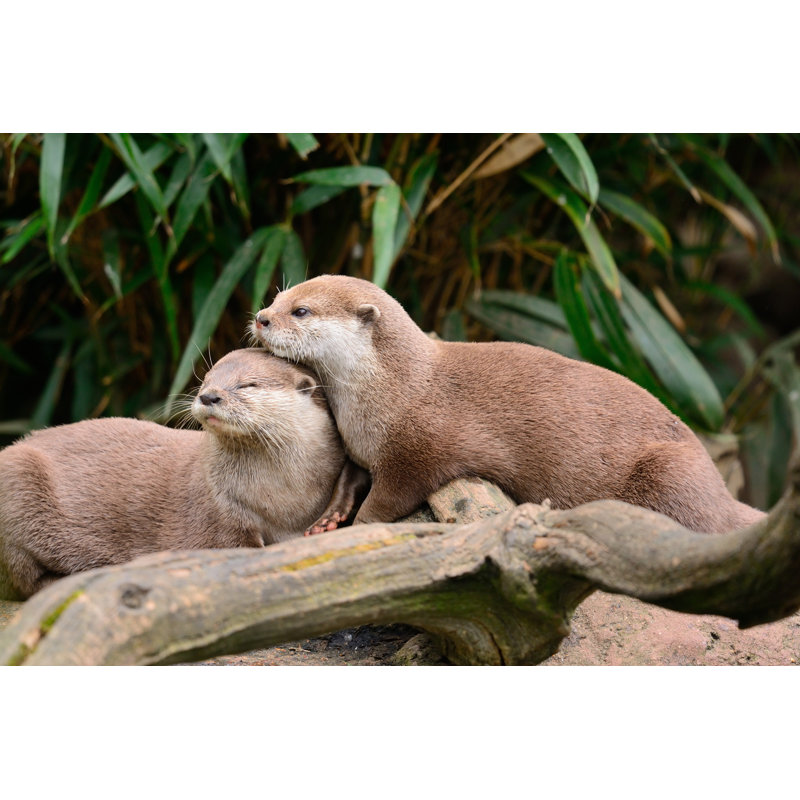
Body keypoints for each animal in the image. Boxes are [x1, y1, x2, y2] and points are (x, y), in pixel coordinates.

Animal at [0, 348, 367, 600]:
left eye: (247, 384)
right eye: (206, 380)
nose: (209, 396)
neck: (282, 501)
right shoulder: (217, 515)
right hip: (17, 484)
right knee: (23, 578)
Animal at [251, 274, 766, 534]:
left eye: (301, 311)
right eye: (278, 296)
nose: (260, 317)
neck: (391, 392)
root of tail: (720, 490)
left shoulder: (416, 452)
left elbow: (390, 498)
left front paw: (359, 526)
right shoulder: (360, 446)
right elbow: (348, 478)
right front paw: (329, 517)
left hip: (670, 470)